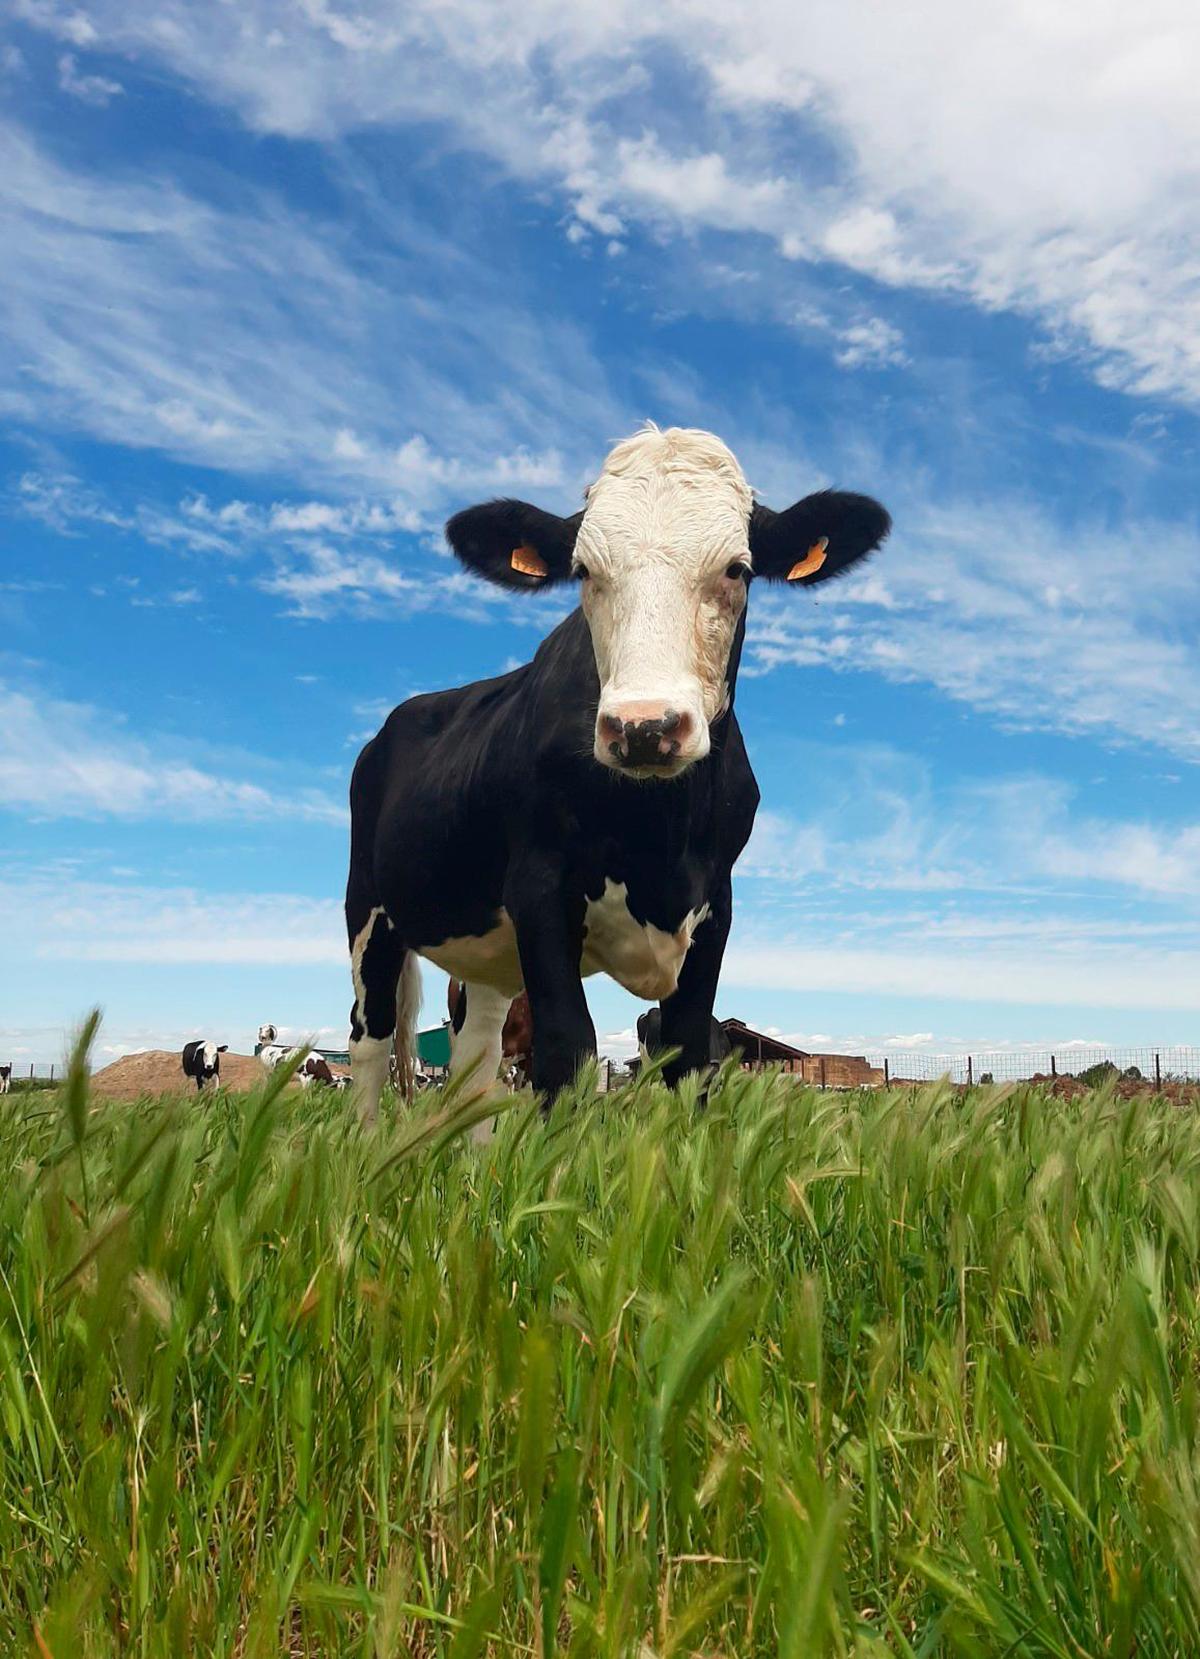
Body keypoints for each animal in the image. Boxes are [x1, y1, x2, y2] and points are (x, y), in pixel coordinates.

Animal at [341, 428, 889, 1128]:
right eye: (583, 571)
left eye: (736, 569)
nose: (644, 727)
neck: (659, 835)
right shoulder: (539, 886)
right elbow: (566, 1047)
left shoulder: (716, 906)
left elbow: (690, 1051)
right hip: (370, 908)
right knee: (370, 1039)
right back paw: (364, 1144)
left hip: (487, 962)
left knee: (473, 1065)